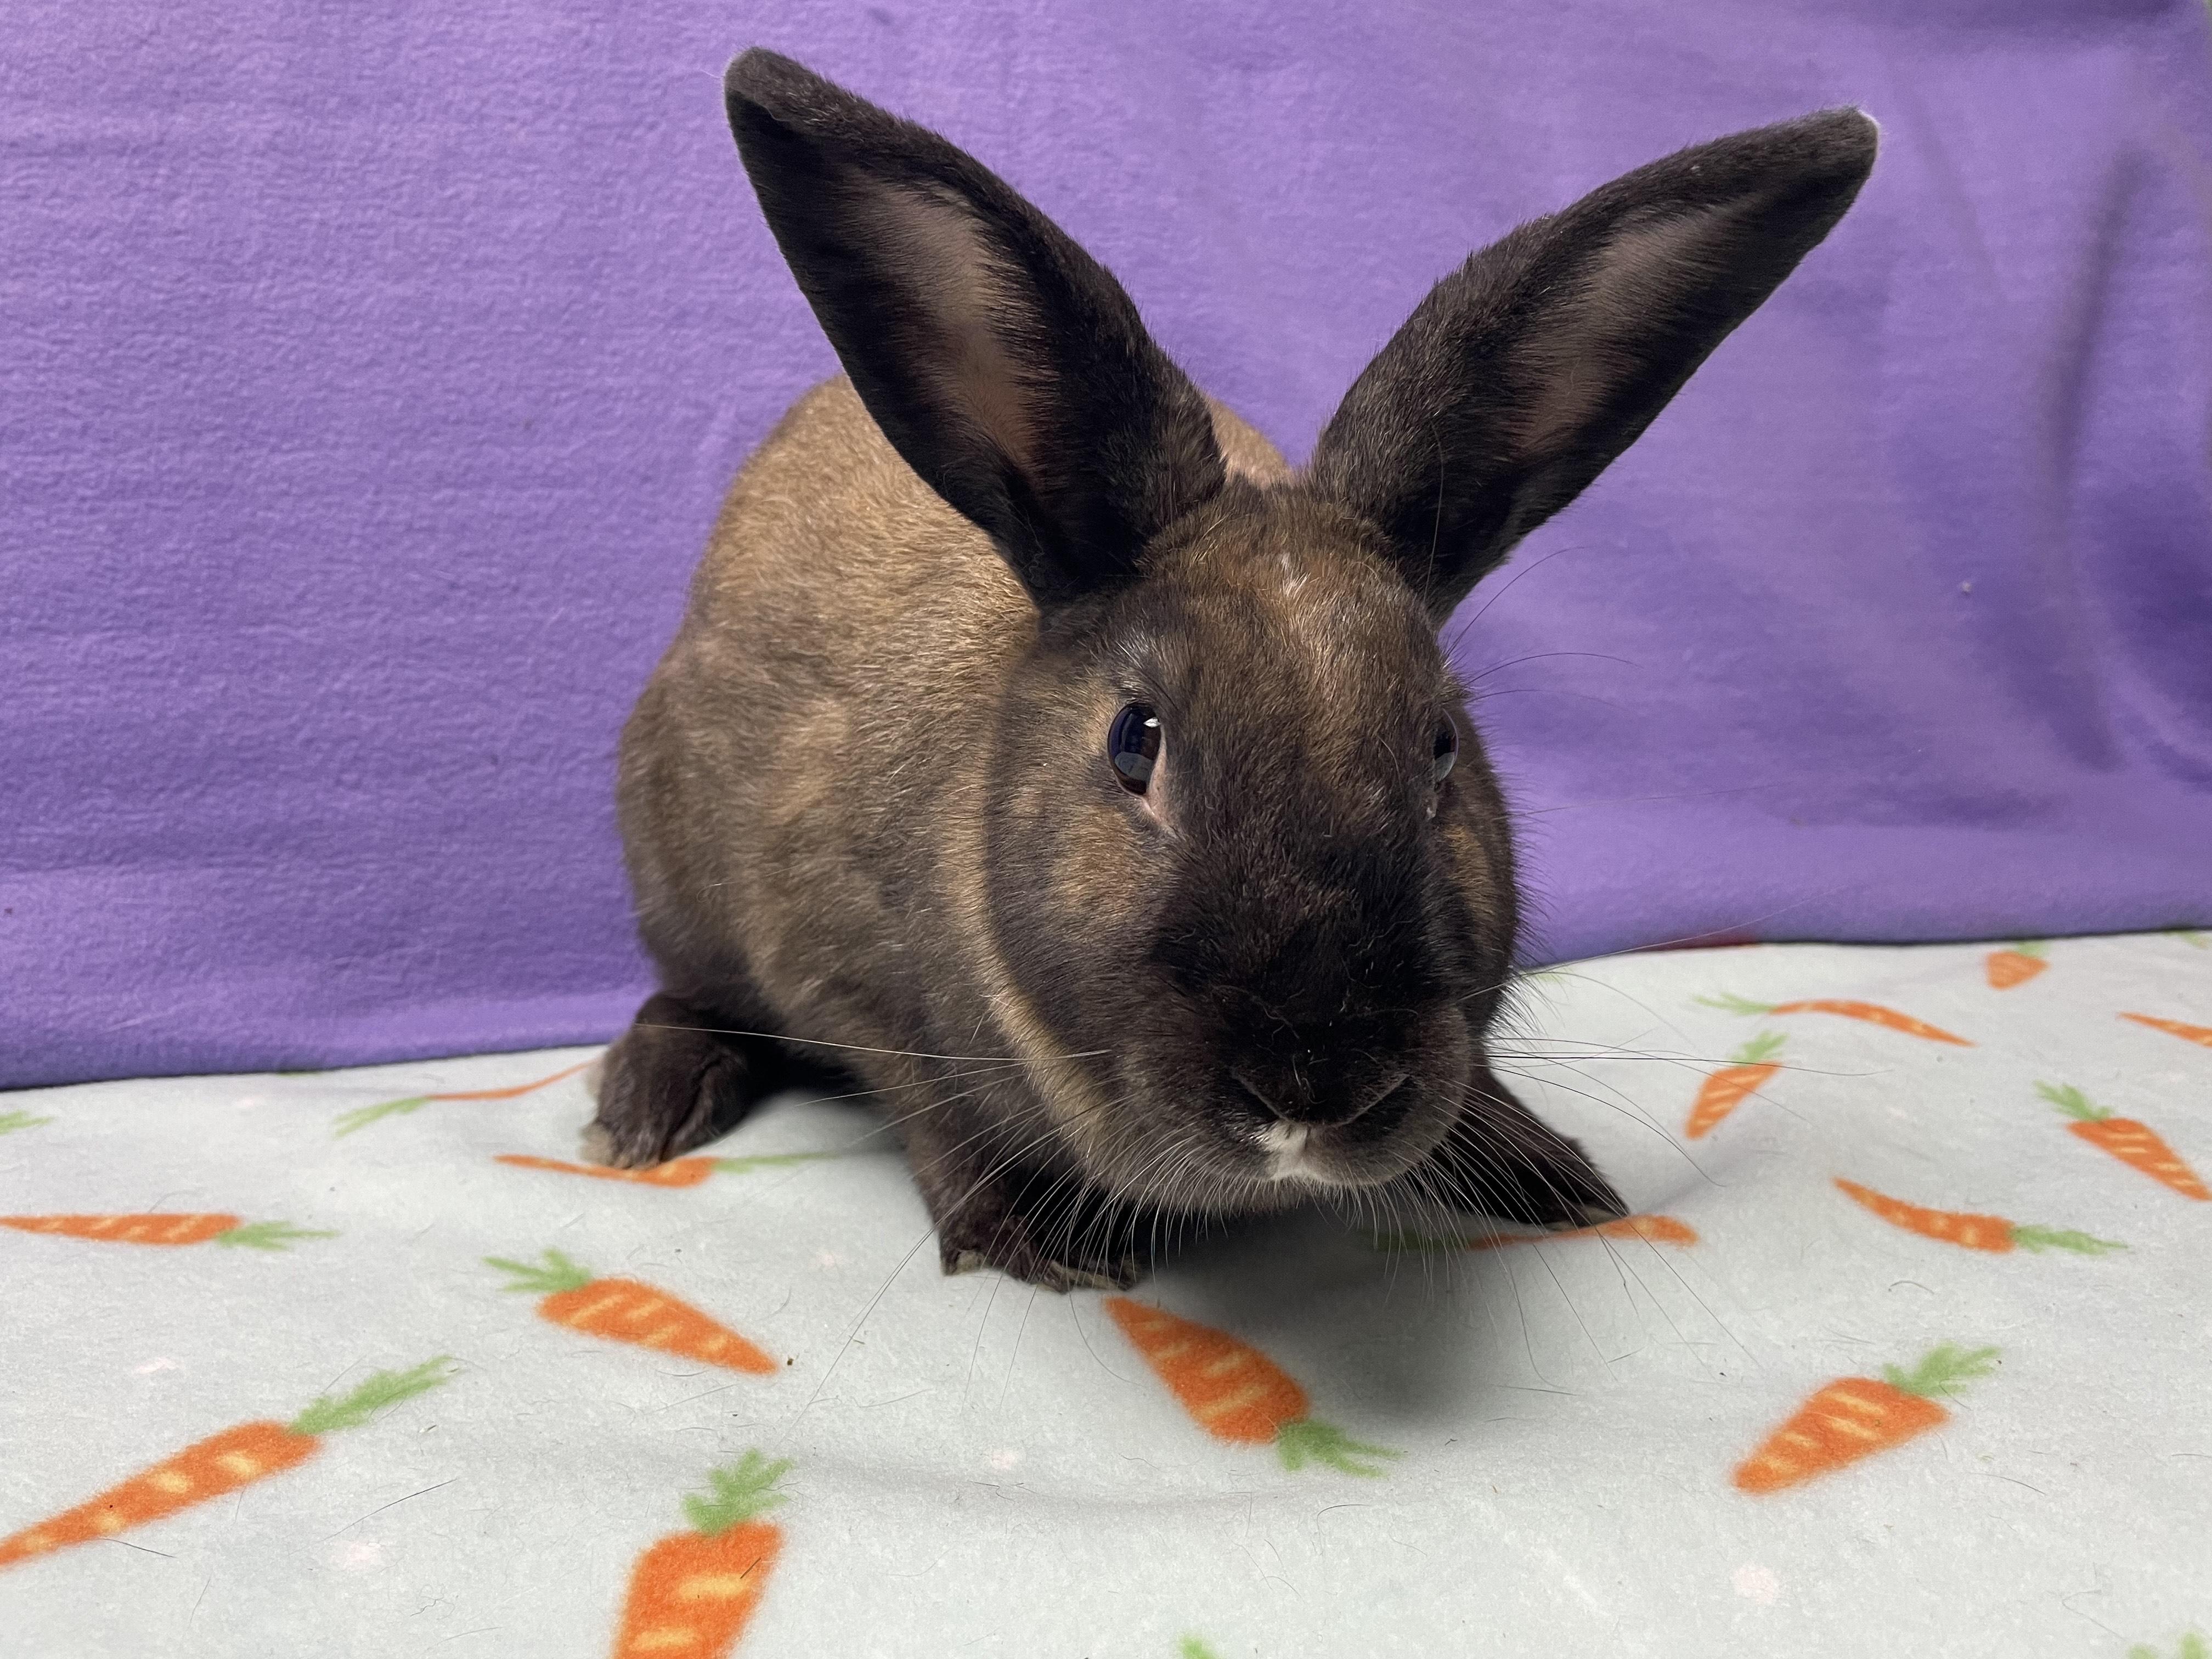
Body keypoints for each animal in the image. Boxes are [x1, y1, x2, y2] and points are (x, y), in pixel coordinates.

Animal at [582, 48, 1876, 1289]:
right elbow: (928, 1110)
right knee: (685, 996)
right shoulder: (838, 962)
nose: (1314, 1089)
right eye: (1134, 741)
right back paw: (643, 1113)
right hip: (678, 881)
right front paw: (1028, 1236)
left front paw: (1550, 1173)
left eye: (1441, 748)